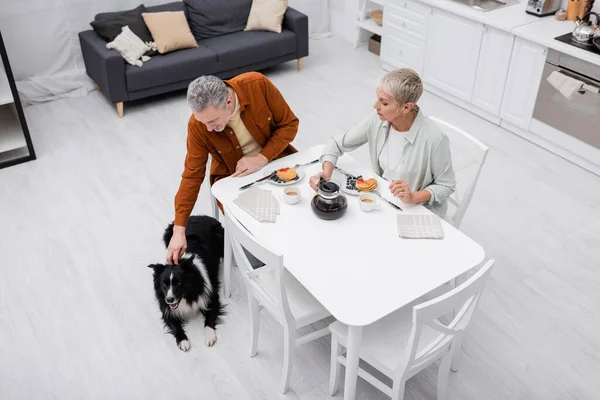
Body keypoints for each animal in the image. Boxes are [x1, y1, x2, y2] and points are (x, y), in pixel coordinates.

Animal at [149, 216, 226, 350]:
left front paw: (209, 337)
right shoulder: (166, 308)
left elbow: (209, 318)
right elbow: (175, 325)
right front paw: (183, 341)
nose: (169, 300)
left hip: (220, 234)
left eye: (179, 283)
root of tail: (199, 215)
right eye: (164, 284)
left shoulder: (212, 295)